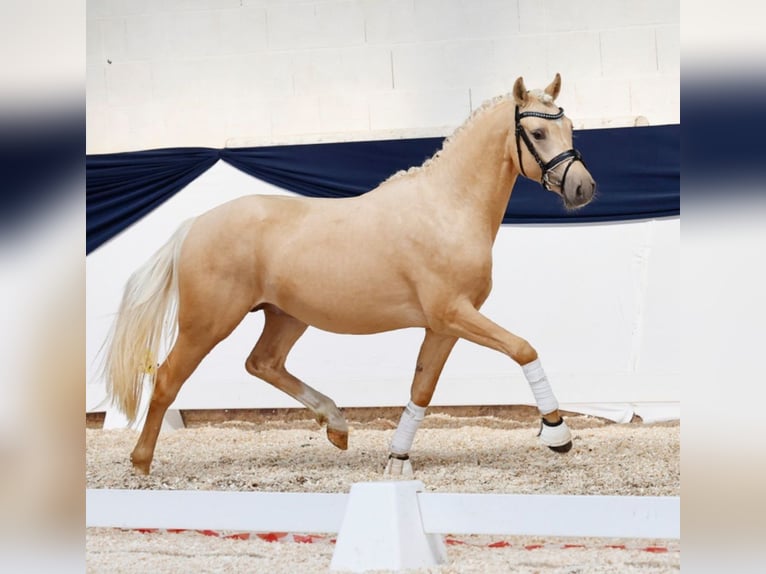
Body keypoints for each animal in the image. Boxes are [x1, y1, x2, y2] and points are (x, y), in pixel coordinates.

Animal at [105, 73, 600, 476]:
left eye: (570, 127)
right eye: (537, 131)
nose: (583, 188)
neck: (447, 208)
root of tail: (194, 225)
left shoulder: (444, 326)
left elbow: (422, 387)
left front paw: (397, 459)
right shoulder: (454, 314)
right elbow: (523, 348)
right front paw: (557, 433)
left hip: (286, 316)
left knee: (262, 362)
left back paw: (337, 425)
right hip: (208, 323)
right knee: (167, 378)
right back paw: (141, 462)